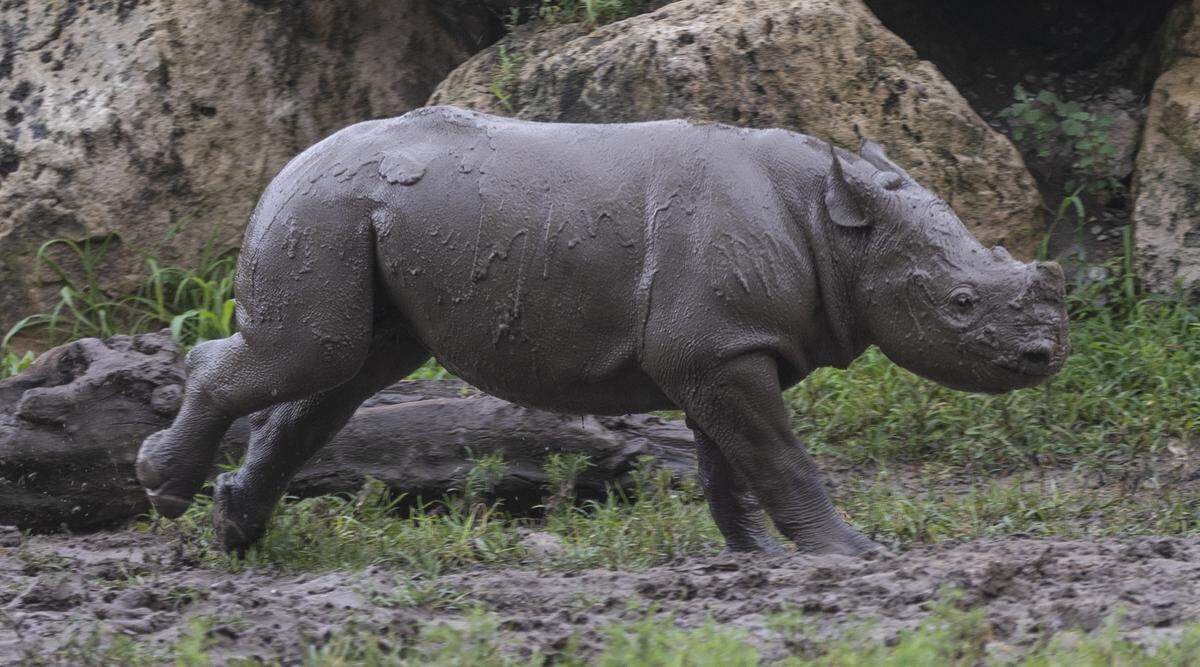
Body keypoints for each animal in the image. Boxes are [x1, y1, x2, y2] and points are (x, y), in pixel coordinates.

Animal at [137, 106, 1068, 555]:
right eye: (959, 303)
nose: (1044, 356)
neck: (838, 230)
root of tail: (286, 163)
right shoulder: (721, 349)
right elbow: (778, 453)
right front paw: (848, 553)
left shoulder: (719, 346)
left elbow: (729, 460)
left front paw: (754, 556)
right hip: (323, 209)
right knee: (318, 356)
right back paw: (163, 487)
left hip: (352, 215)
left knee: (346, 375)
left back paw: (231, 532)